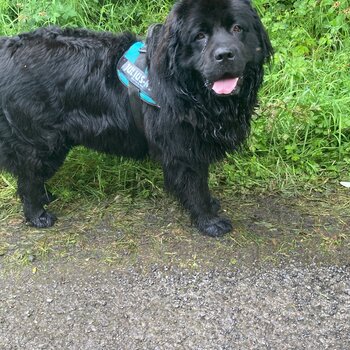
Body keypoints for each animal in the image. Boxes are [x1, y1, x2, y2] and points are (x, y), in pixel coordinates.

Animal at [0, 0, 272, 237]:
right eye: (199, 36)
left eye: (238, 28)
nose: (225, 55)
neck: (188, 88)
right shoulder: (183, 148)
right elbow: (195, 186)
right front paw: (209, 221)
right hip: (41, 139)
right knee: (28, 177)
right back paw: (37, 214)